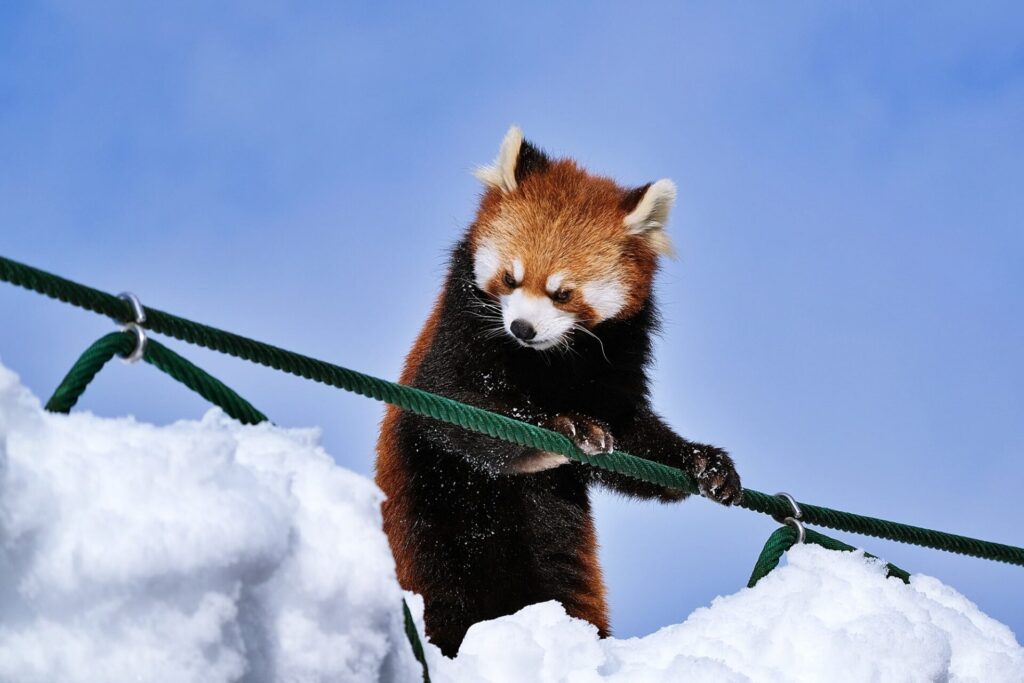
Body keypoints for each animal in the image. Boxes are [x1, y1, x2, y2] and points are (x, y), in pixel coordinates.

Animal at [376, 124, 745, 655]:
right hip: (427, 521)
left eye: (563, 293)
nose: (523, 328)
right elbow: (457, 409)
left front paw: (704, 463)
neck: (551, 360)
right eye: (510, 278)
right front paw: (560, 427)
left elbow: (631, 439)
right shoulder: (458, 337)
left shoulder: (617, 354)